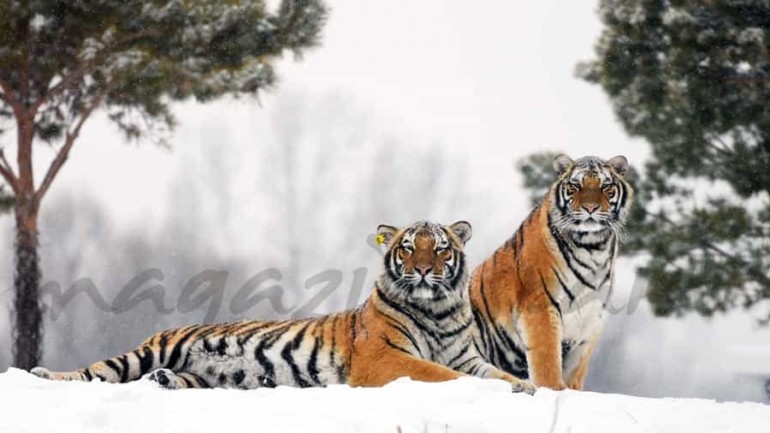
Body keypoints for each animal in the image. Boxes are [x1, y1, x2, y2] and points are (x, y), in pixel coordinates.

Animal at [32, 220, 535, 393]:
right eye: (409, 247)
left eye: (441, 248)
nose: (426, 270)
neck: (437, 310)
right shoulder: (384, 358)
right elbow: (437, 373)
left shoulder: (466, 355)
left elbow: (497, 373)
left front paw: (528, 388)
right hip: (150, 349)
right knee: (95, 372)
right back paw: (44, 374)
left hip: (201, 377)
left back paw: (165, 382)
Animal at [470, 154, 633, 391]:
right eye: (576, 186)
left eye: (605, 186)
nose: (590, 208)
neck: (593, 247)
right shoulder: (540, 306)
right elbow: (546, 358)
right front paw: (554, 389)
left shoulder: (591, 320)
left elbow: (575, 370)